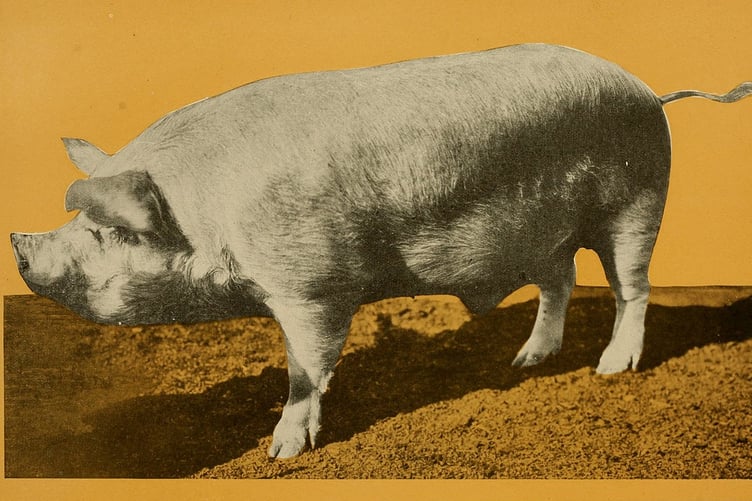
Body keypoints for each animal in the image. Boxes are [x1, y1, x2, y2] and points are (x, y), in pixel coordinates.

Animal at [10, 44, 752, 458]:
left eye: (108, 231)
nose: (17, 243)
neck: (207, 216)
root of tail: (648, 89)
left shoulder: (313, 285)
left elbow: (305, 367)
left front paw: (282, 453)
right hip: (546, 232)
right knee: (560, 282)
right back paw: (528, 360)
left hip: (638, 202)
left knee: (633, 287)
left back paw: (610, 369)